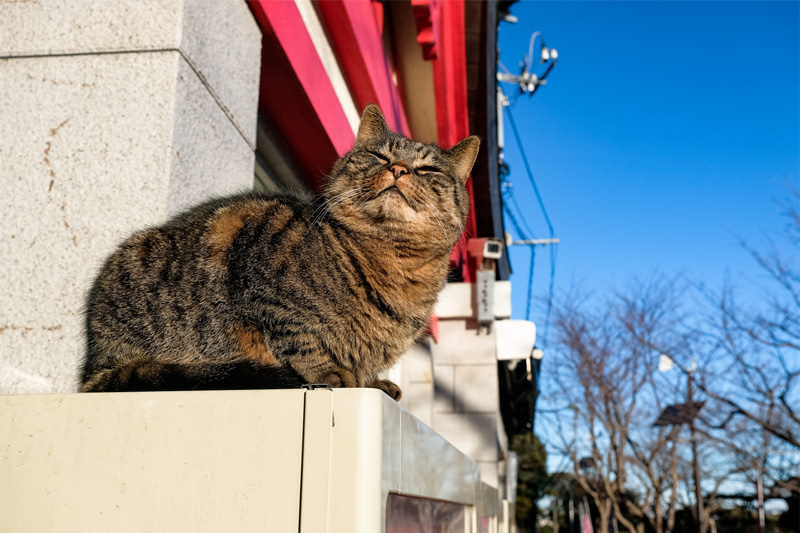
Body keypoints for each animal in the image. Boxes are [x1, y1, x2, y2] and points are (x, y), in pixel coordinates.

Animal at [80, 104, 478, 400]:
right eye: (380, 156)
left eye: (427, 169)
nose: (398, 169)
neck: (396, 264)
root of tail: (93, 364)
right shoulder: (268, 283)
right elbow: (301, 337)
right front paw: (330, 371)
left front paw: (372, 381)